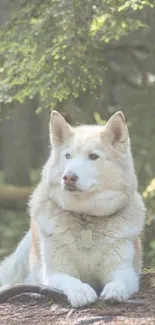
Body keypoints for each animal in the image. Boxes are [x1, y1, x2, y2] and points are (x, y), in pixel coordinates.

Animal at [0, 110, 145, 306]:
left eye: (93, 156)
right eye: (68, 156)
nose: (68, 177)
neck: (85, 216)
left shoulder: (125, 271)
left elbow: (120, 281)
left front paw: (115, 290)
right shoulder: (55, 273)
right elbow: (72, 281)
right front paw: (81, 291)